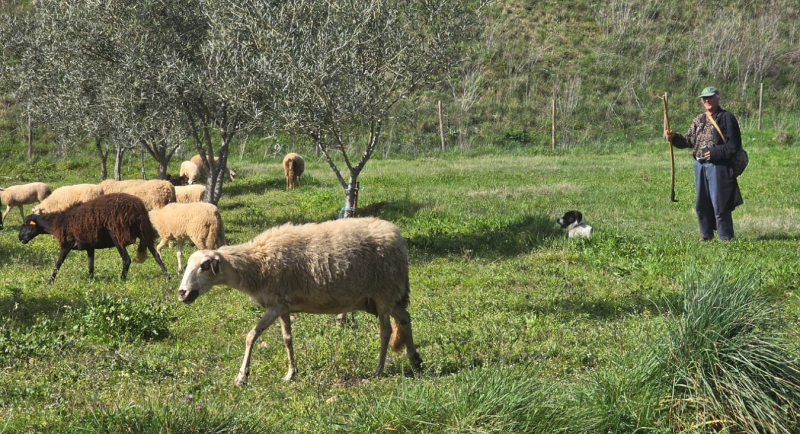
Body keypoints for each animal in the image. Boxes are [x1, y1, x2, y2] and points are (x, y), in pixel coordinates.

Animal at [18, 192, 170, 282]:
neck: (57, 222)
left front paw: (50, 281)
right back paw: (167, 277)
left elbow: (58, 264)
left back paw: (121, 279)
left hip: (117, 235)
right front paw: (91, 281)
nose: (20, 238)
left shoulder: (67, 245)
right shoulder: (89, 246)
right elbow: (91, 266)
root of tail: (137, 207)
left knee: (126, 259)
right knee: (157, 255)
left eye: (26, 223)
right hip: (143, 232)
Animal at [177, 216, 422, 384]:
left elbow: (251, 336)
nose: (182, 293)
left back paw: (379, 369)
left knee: (386, 331)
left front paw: (242, 376)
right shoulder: (284, 305)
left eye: (204, 266)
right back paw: (415, 360)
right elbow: (287, 339)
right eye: (187, 266)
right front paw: (290, 373)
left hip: (383, 293)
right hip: (380, 299)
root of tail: (397, 236)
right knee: (405, 318)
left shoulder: (275, 305)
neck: (256, 263)